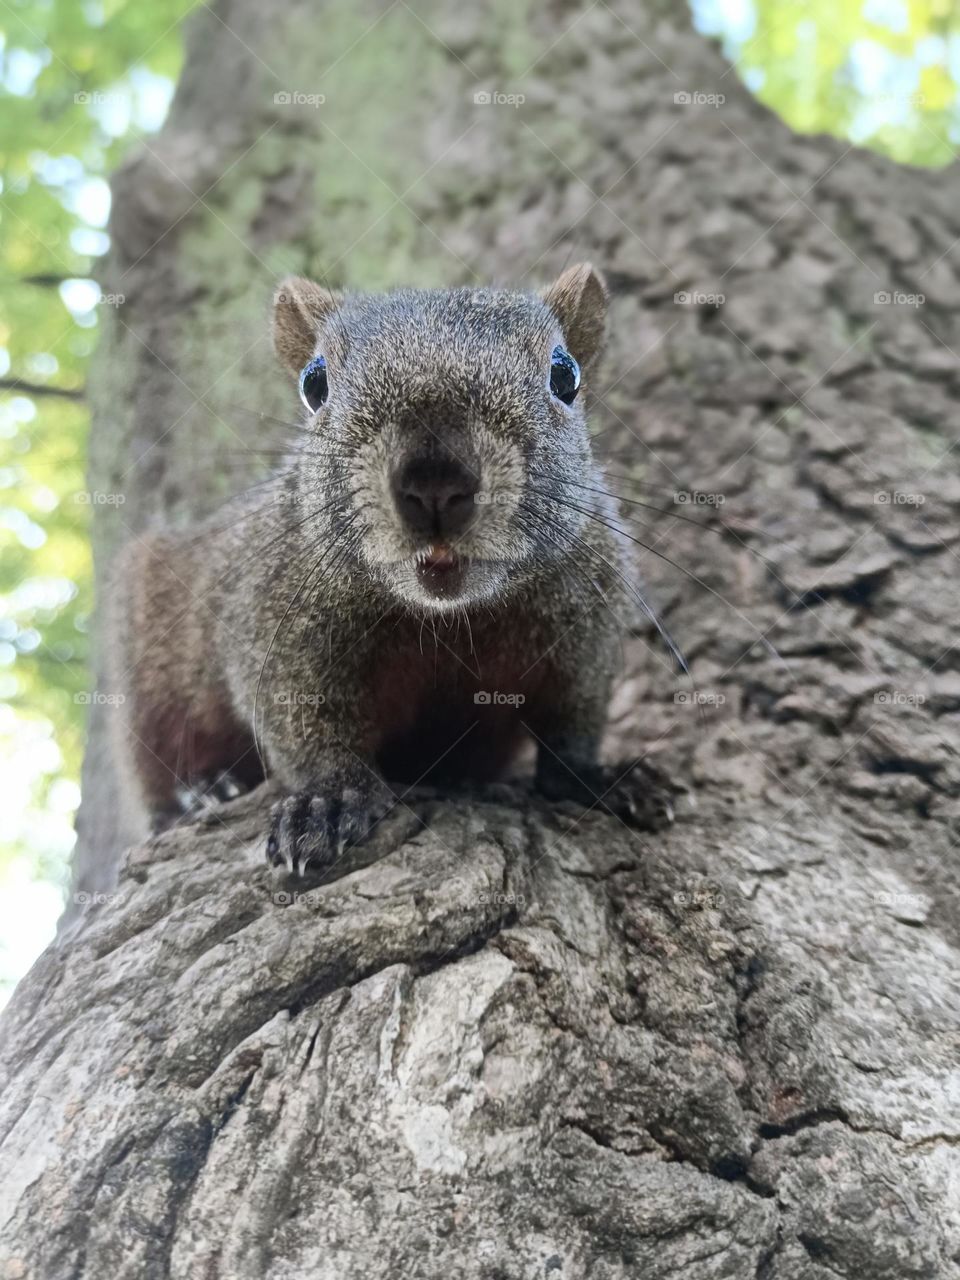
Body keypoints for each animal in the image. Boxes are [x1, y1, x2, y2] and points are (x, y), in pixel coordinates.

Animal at [112, 263, 671, 876]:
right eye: (314, 384)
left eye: (564, 375)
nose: (434, 482)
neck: (450, 619)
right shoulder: (274, 620)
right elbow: (301, 722)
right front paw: (329, 799)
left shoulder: (586, 628)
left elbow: (574, 720)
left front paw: (598, 778)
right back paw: (204, 790)